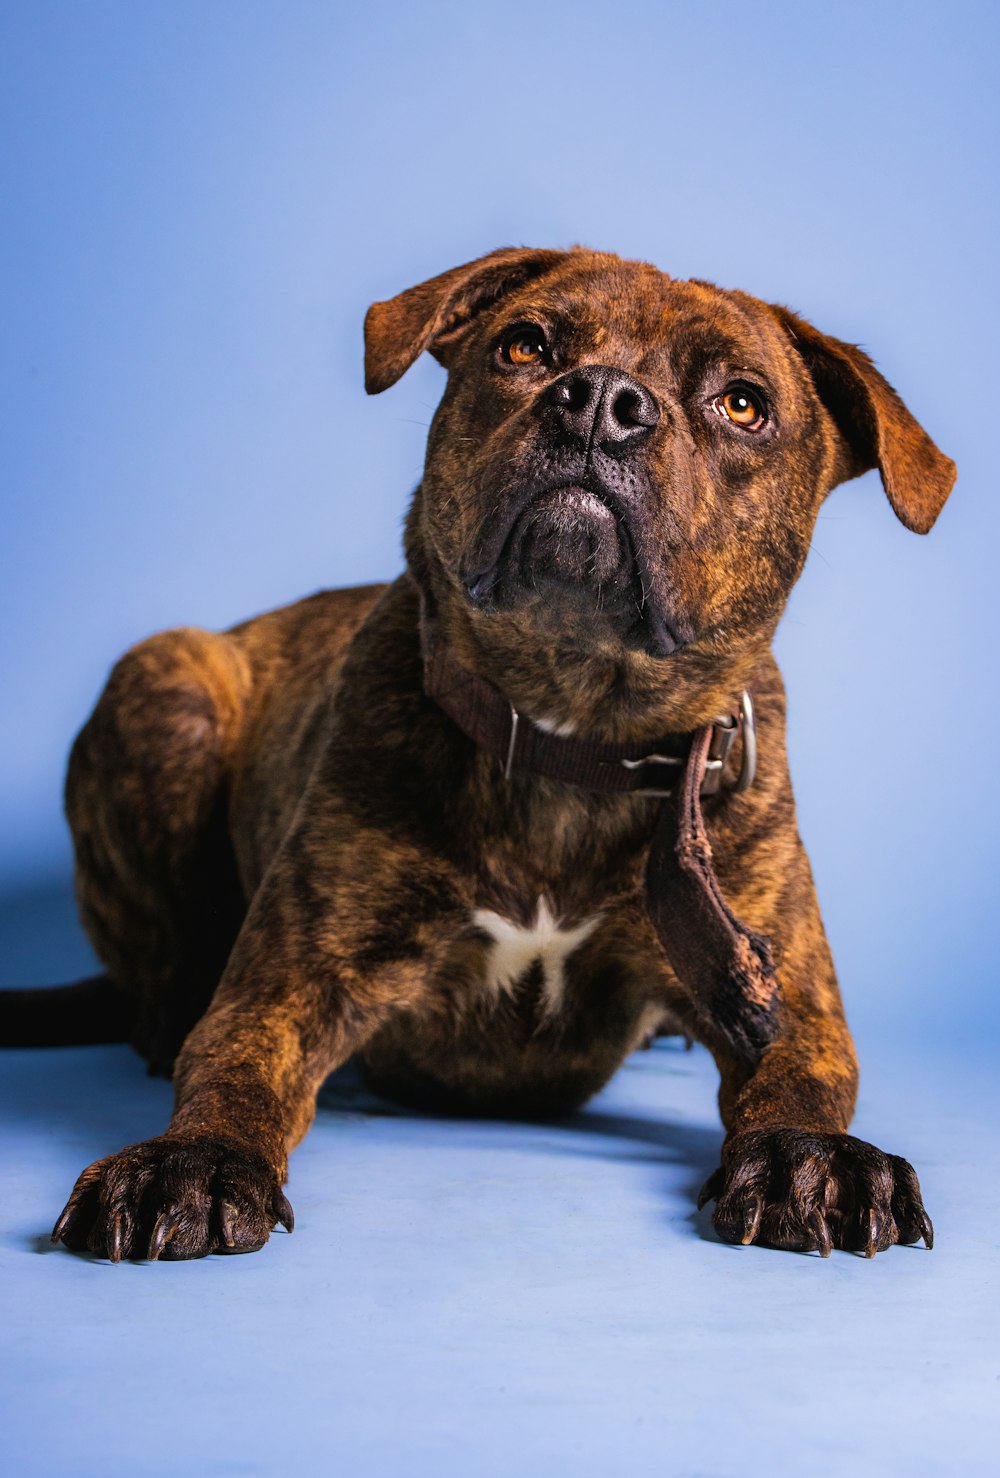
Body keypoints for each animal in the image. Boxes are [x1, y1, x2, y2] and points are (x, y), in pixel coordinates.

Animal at [13, 245, 951, 1259]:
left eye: (743, 404)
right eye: (524, 345)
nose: (602, 400)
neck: (568, 728)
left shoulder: (779, 994)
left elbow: (803, 1073)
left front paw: (809, 1159)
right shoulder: (292, 981)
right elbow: (236, 1061)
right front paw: (189, 1163)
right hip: (167, 683)